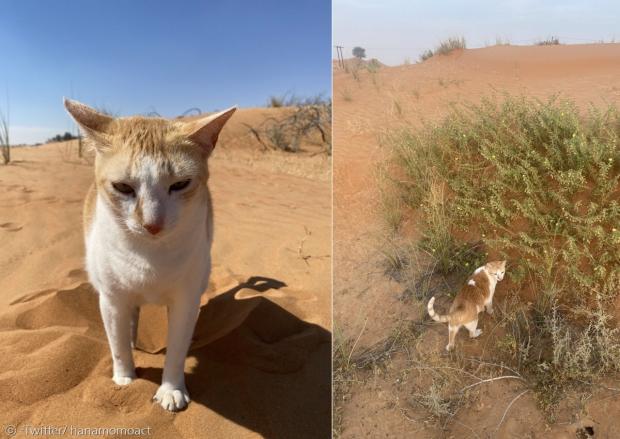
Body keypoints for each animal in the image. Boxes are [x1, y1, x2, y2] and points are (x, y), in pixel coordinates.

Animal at [64, 99, 235, 412]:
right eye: (122, 187)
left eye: (180, 184)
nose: (152, 224)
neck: (150, 257)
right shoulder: (111, 299)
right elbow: (117, 345)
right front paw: (125, 380)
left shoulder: (186, 301)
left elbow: (177, 350)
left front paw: (171, 390)